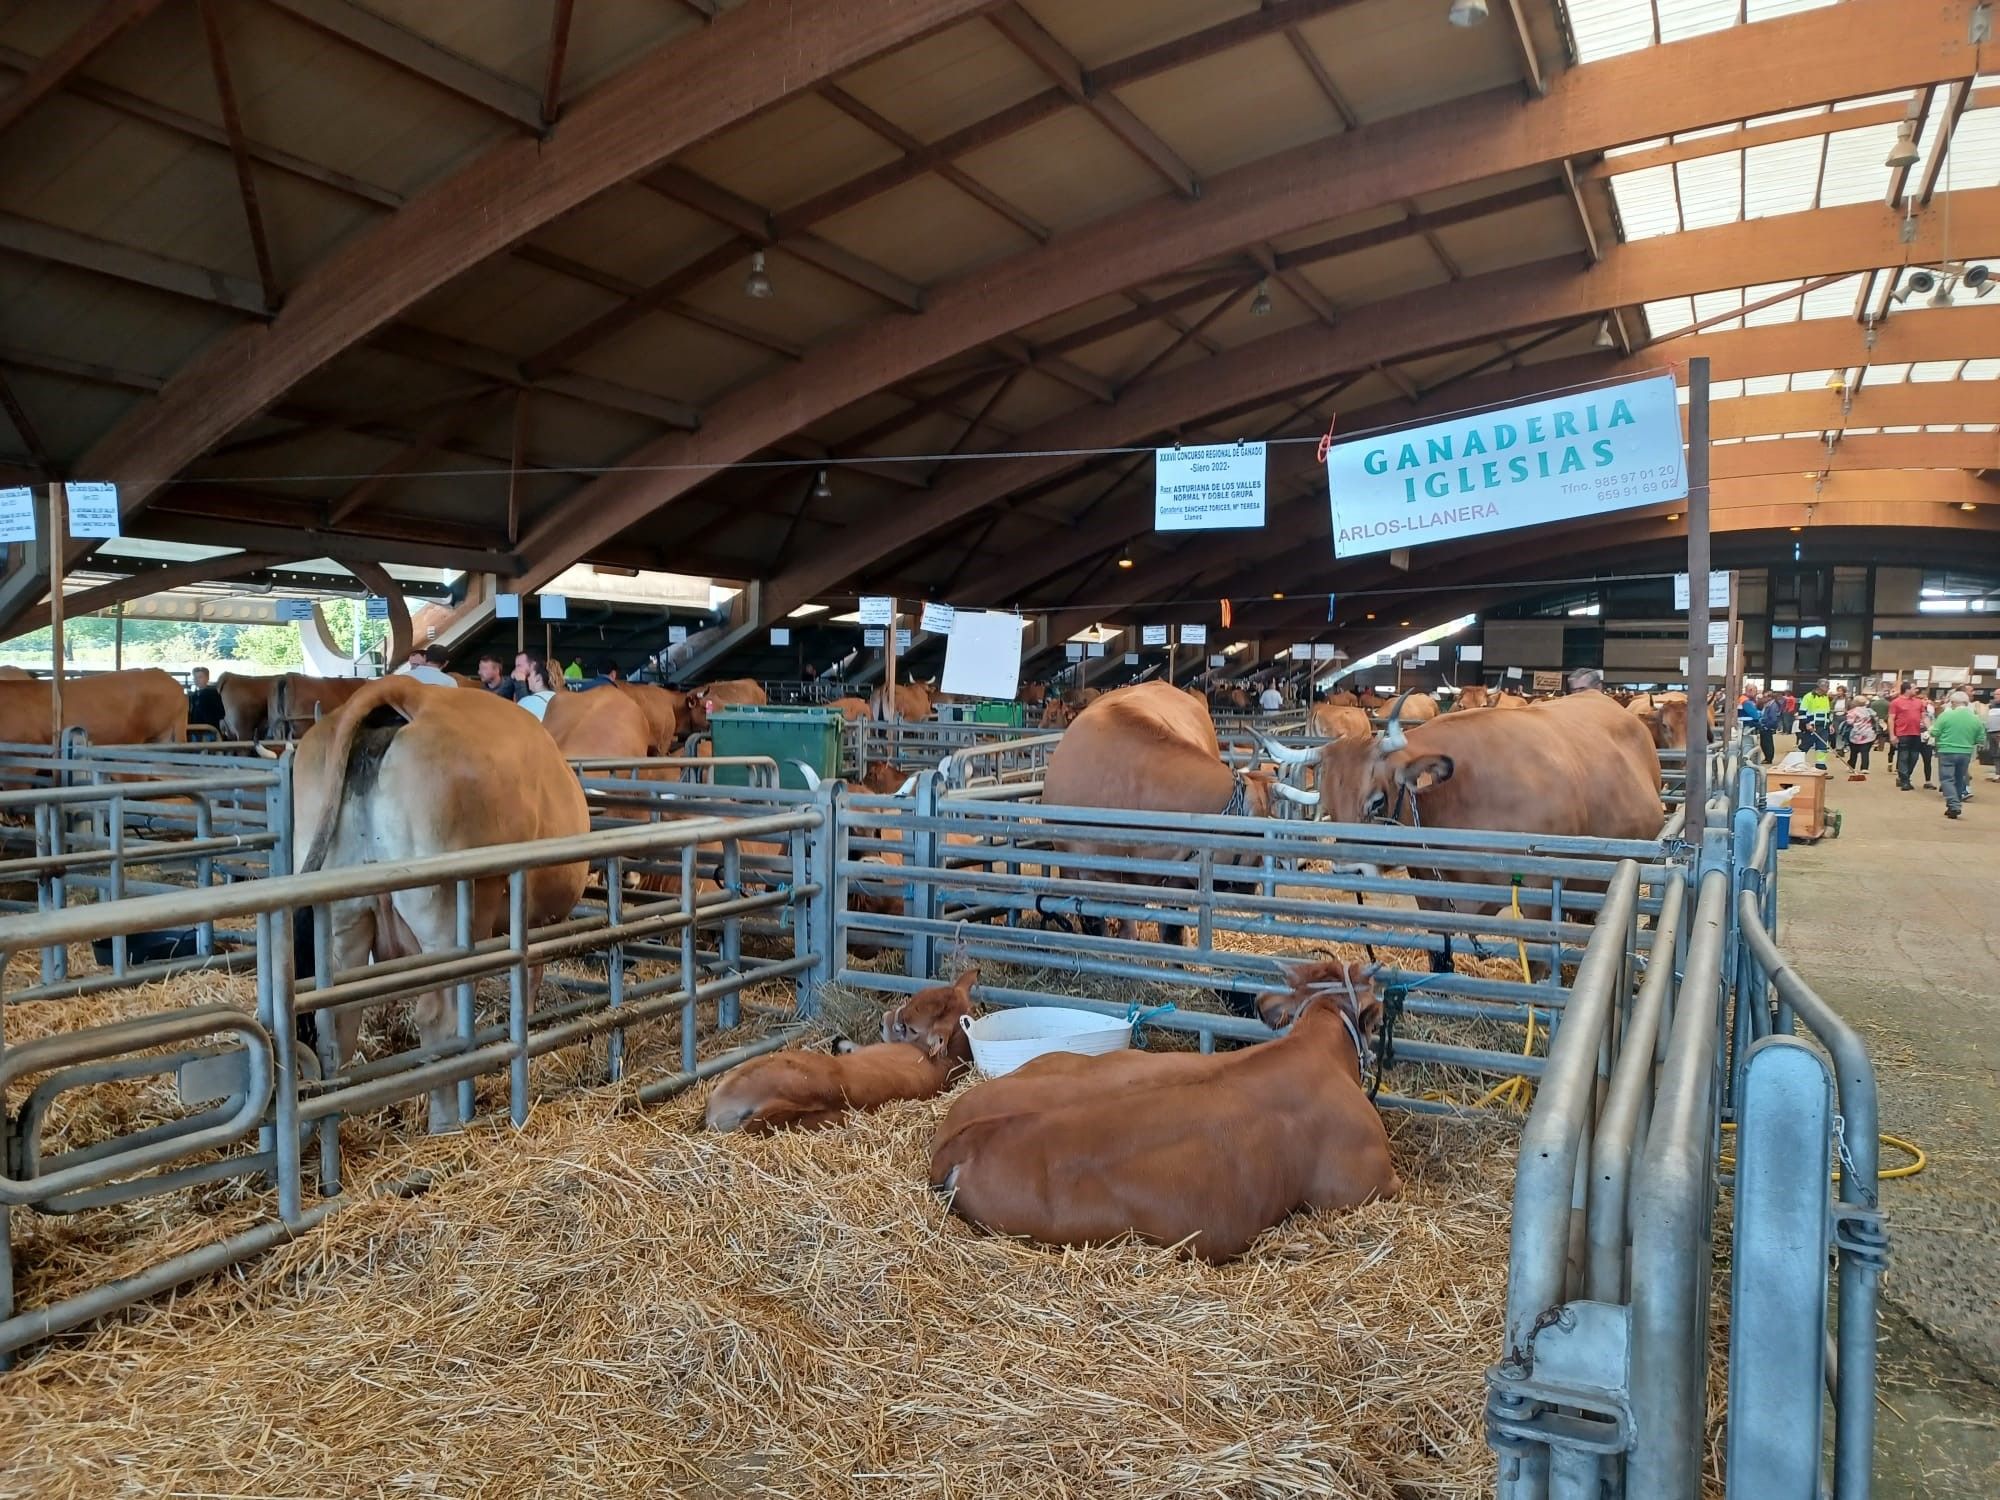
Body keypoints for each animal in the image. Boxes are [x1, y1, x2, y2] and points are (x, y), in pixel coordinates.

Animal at [292, 680, 584, 1128]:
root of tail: (413, 692)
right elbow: (529, 977)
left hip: (343, 917)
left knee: (337, 1020)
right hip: (448, 914)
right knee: (438, 1016)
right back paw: (448, 1121)